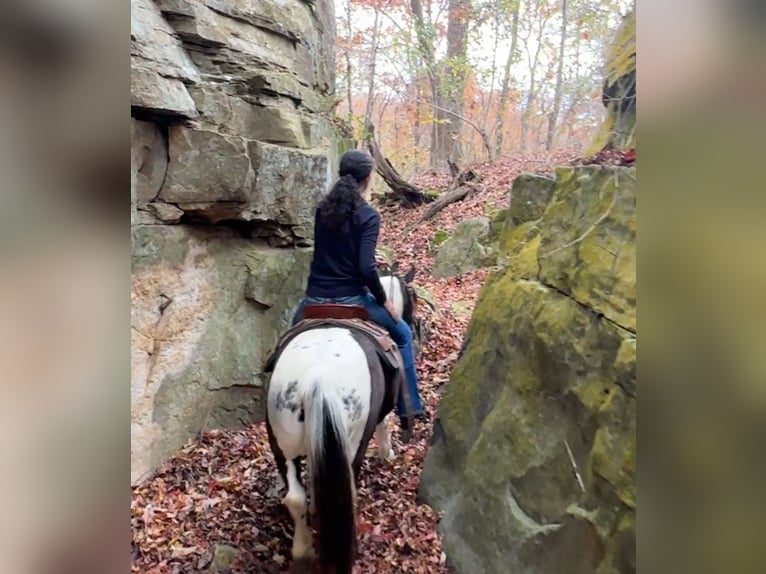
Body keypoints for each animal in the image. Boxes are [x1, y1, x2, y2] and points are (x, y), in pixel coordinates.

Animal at [264, 308, 406, 574]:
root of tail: (319, 376)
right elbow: (384, 424)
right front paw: (388, 454)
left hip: (282, 442)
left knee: (296, 497)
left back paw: (303, 549)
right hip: (354, 442)